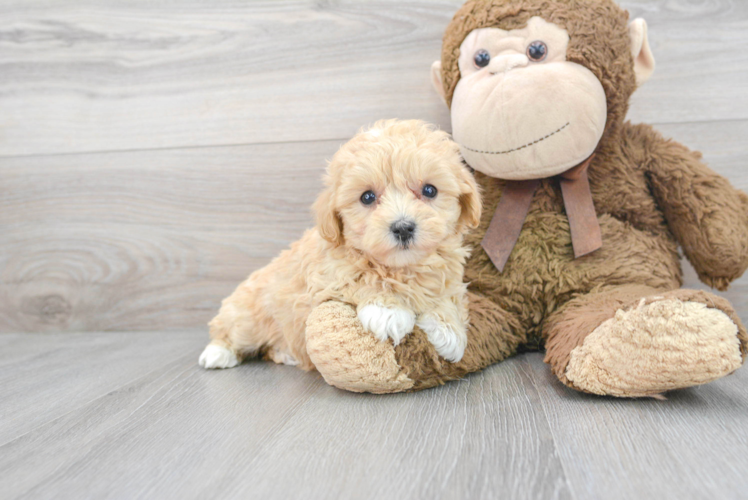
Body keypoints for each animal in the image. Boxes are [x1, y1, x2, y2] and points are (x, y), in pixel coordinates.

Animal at [199, 119, 480, 372]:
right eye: (367, 197)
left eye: (430, 190)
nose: (402, 227)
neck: (401, 268)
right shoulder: (327, 272)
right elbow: (360, 275)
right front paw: (388, 310)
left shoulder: (448, 272)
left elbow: (446, 293)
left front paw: (448, 329)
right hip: (248, 317)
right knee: (229, 331)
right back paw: (217, 353)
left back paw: (284, 353)